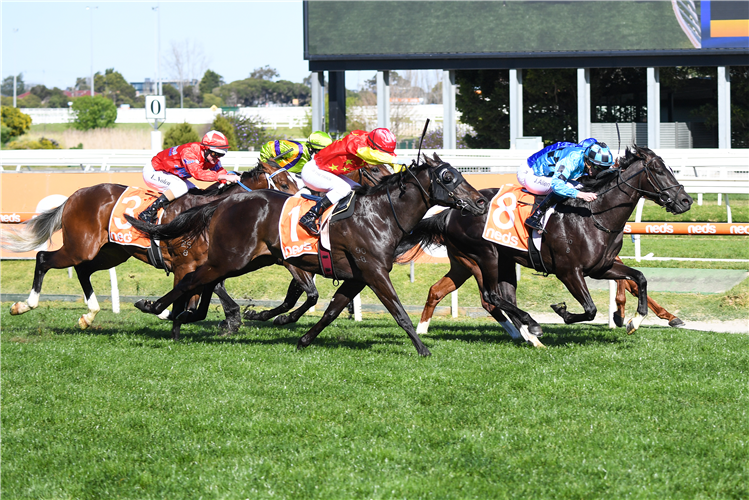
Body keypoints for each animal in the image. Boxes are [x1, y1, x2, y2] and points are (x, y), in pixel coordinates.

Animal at [0, 162, 298, 330]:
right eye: (284, 183)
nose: (297, 206)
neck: (206, 213)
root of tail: (75, 195)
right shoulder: (186, 264)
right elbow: (190, 296)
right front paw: (164, 310)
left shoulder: (209, 263)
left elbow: (203, 296)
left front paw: (231, 319)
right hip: (80, 246)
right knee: (43, 258)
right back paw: (24, 305)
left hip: (111, 252)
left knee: (83, 271)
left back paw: (89, 316)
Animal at [127, 154, 490, 354]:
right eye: (448, 177)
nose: (481, 201)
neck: (380, 214)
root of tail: (223, 202)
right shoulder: (373, 271)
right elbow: (398, 311)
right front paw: (422, 348)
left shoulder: (357, 276)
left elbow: (330, 309)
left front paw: (302, 338)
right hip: (232, 257)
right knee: (191, 279)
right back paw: (156, 307)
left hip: (245, 260)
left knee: (199, 280)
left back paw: (185, 315)